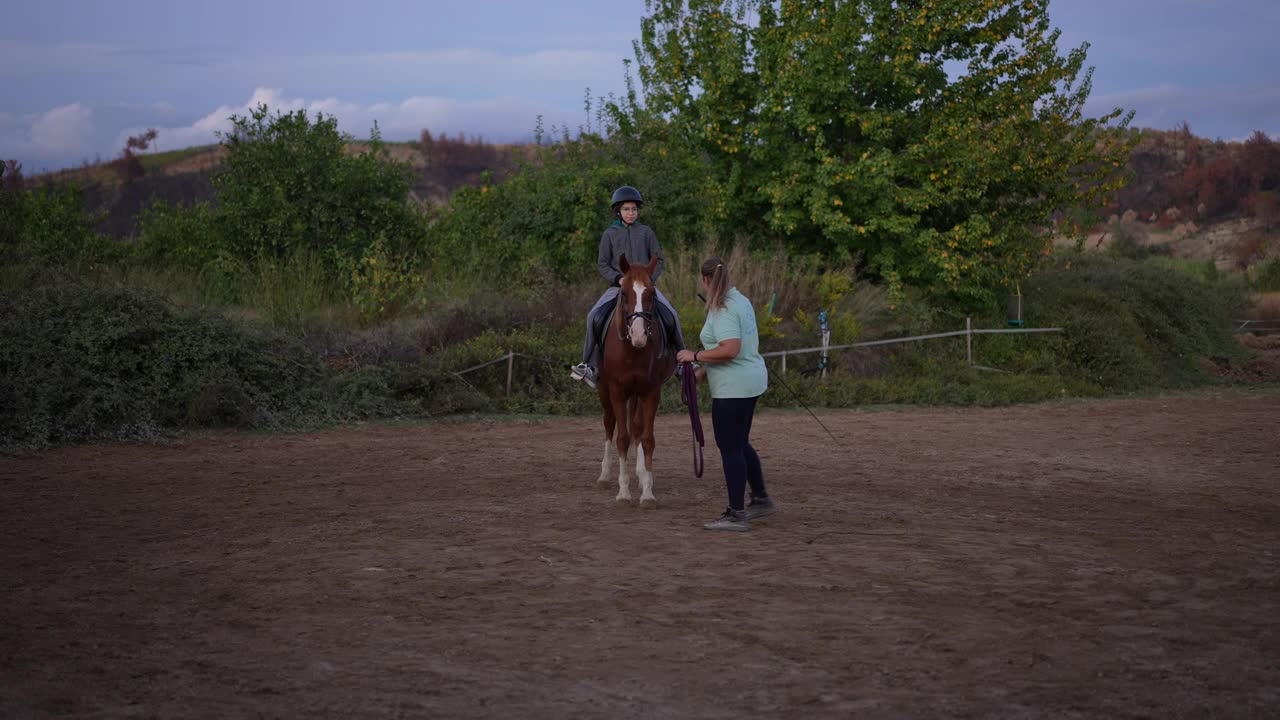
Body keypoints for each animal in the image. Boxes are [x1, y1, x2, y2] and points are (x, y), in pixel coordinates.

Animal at [596, 253, 680, 504]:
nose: (639, 334)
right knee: (609, 424)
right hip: (605, 392)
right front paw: (623, 492)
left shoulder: (650, 391)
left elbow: (647, 437)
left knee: (636, 427)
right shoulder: (616, 391)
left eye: (651, 293)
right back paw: (605, 475)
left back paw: (642, 474)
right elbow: (622, 438)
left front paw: (647, 492)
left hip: (636, 394)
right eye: (624, 293)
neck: (633, 350)